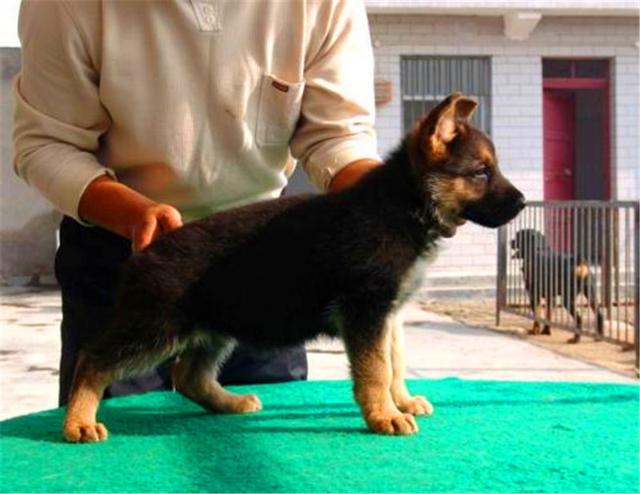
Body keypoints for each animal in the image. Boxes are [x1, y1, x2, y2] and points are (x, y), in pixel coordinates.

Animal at [63, 93, 524, 444]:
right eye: (481, 172)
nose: (522, 203)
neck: (405, 204)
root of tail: (149, 250)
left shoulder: (387, 313)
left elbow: (393, 360)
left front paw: (402, 401)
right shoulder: (365, 310)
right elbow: (375, 368)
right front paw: (383, 415)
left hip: (212, 328)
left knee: (189, 375)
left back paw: (231, 403)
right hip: (155, 327)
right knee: (94, 358)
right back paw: (78, 421)